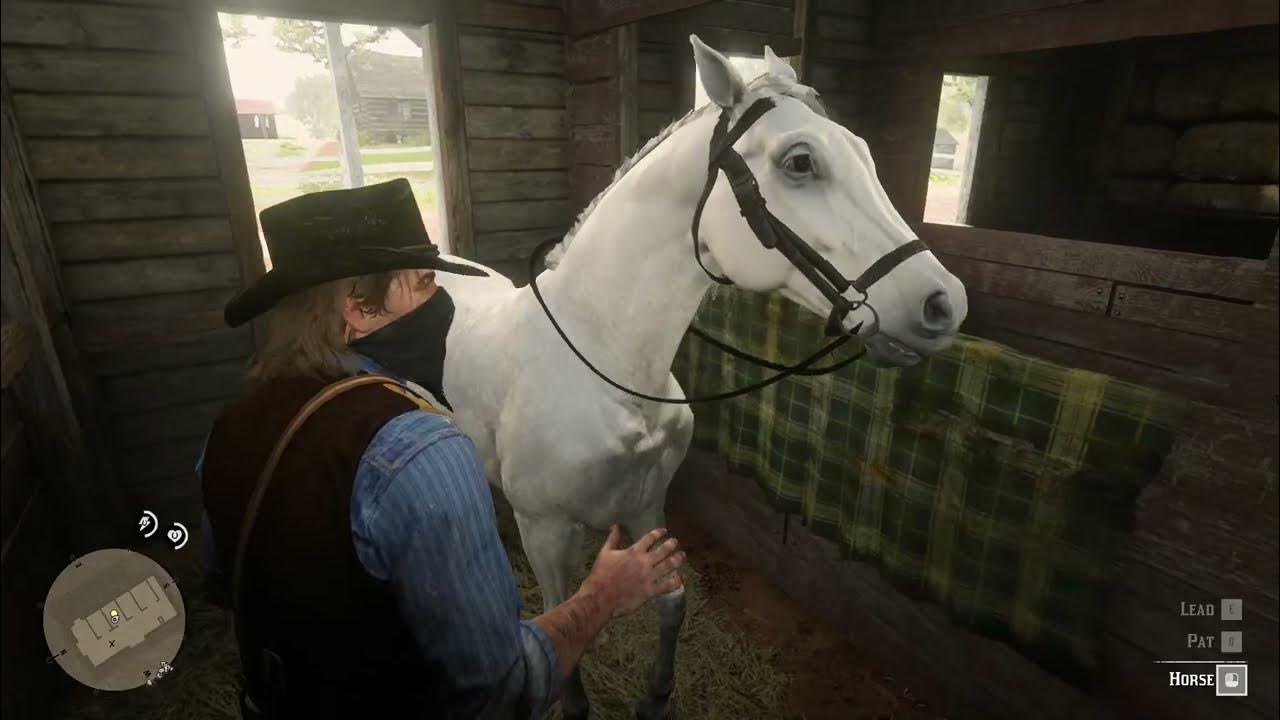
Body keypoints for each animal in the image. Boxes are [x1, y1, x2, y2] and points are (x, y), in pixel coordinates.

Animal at [431, 36, 968, 719]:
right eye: (800, 162)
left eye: (864, 154)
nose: (944, 304)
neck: (604, 368)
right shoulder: (546, 531)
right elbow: (560, 644)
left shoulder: (647, 504)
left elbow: (671, 602)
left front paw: (656, 698)